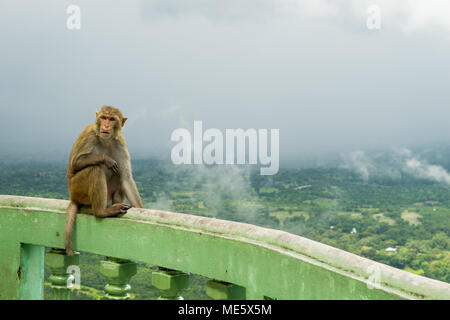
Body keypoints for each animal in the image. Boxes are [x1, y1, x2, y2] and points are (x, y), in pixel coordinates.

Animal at [64, 106, 142, 256]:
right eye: (103, 117)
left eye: (112, 119)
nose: (106, 126)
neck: (106, 141)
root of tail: (72, 196)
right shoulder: (89, 134)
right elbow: (76, 162)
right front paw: (105, 159)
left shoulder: (120, 142)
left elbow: (126, 179)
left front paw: (141, 209)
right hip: (77, 188)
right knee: (96, 169)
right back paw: (102, 212)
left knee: (118, 176)